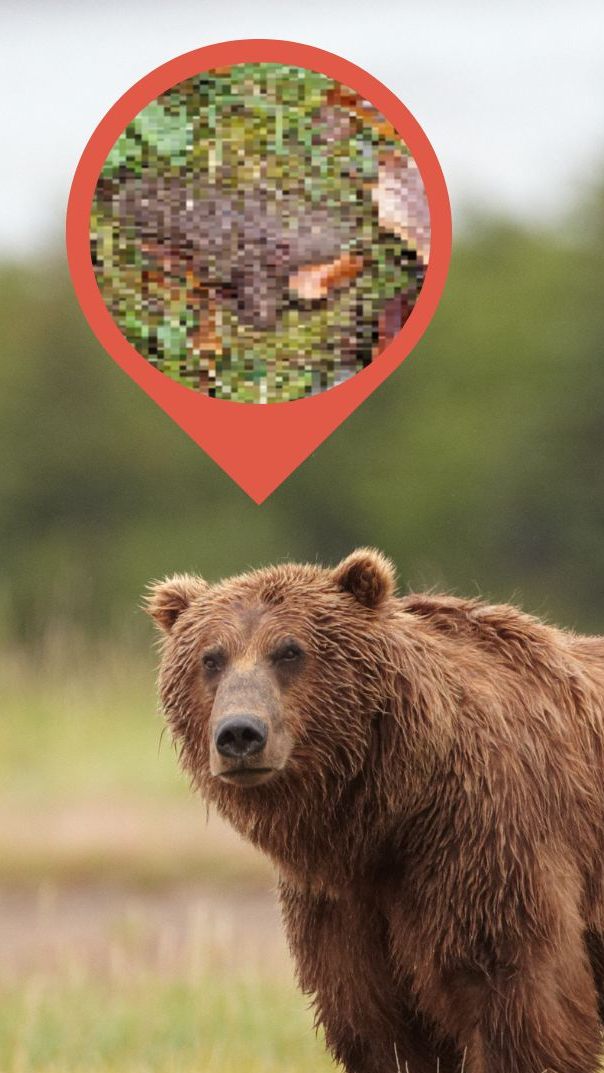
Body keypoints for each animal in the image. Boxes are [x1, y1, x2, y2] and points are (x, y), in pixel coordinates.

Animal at [146, 548, 604, 1073]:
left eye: (289, 651)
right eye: (211, 658)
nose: (240, 733)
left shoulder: (488, 842)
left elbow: (513, 995)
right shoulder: (342, 902)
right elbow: (380, 1024)